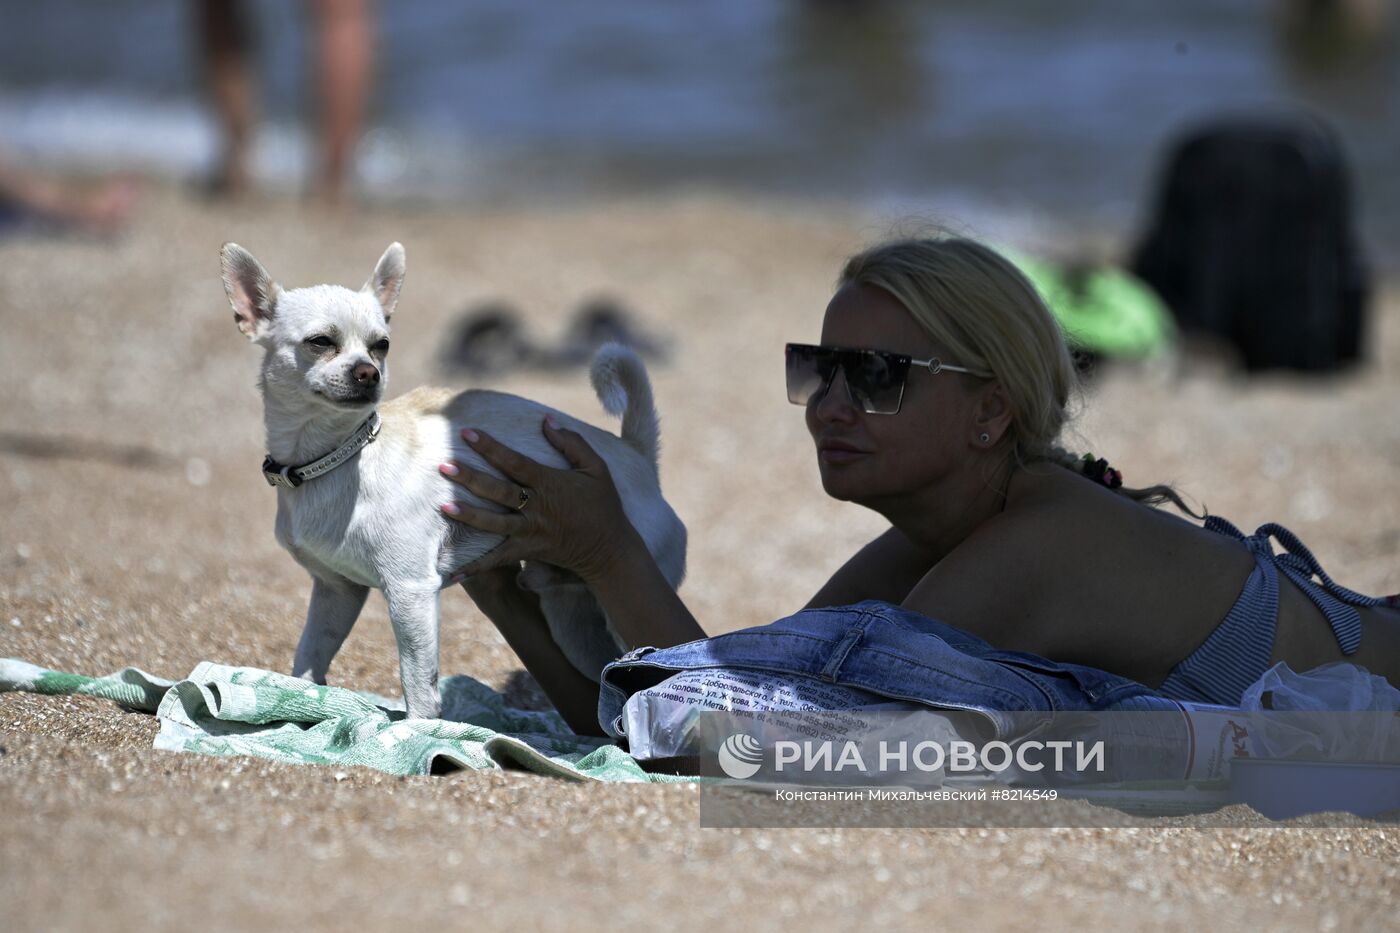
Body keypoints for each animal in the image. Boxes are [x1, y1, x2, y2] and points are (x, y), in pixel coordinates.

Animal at [217, 240, 688, 717]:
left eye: (381, 346)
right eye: (320, 342)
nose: (368, 372)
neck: (336, 458)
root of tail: (636, 455)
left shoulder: (410, 594)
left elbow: (418, 688)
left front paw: (416, 730)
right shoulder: (336, 593)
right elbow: (309, 660)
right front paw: (298, 702)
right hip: (574, 621)